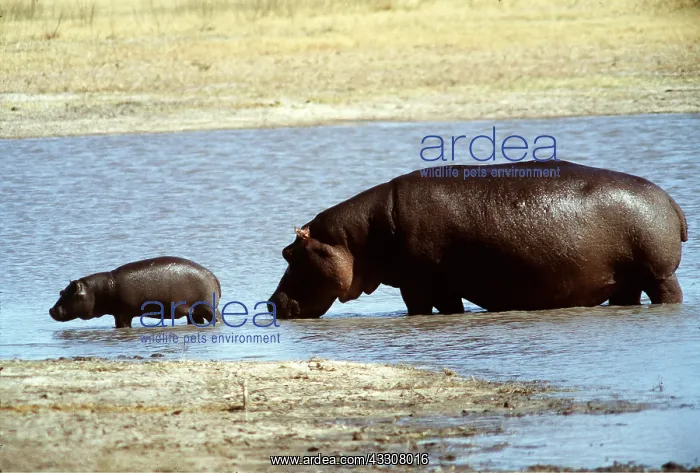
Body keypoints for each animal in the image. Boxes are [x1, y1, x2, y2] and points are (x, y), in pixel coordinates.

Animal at [50, 256, 221, 328]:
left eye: (65, 294)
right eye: (60, 292)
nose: (51, 310)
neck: (97, 290)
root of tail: (213, 276)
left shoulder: (123, 313)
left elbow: (122, 326)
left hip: (208, 307)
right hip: (193, 311)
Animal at [268, 160, 687, 318]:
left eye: (289, 253)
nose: (271, 303)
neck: (355, 239)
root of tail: (670, 200)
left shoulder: (417, 283)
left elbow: (419, 310)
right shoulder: (441, 285)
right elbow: (450, 308)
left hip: (658, 273)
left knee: (670, 295)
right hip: (626, 279)